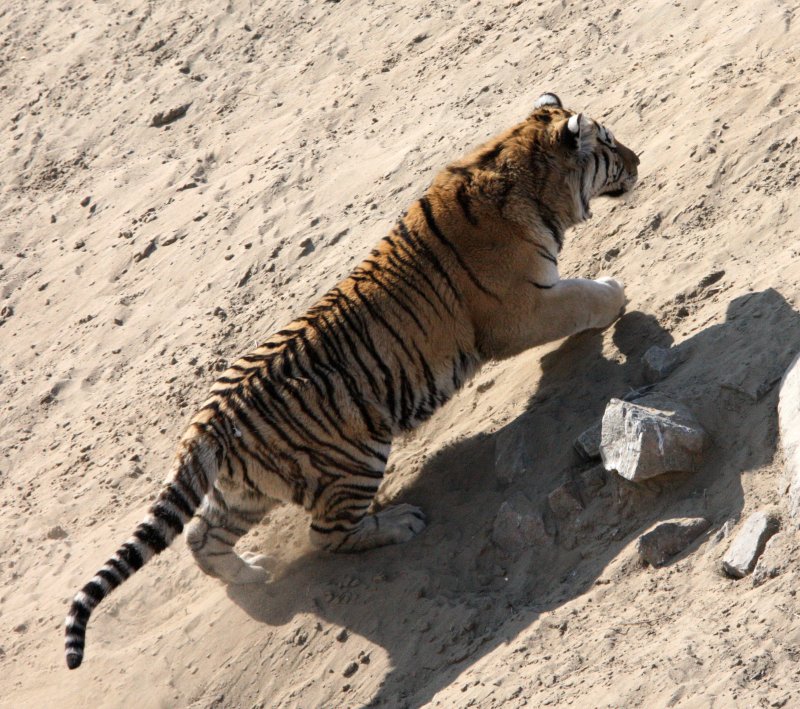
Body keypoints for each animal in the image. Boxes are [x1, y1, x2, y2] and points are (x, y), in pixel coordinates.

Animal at [64, 92, 636, 668]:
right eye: (609, 145)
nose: (636, 161)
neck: (521, 170)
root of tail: (208, 423)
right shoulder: (521, 311)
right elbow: (581, 298)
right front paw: (615, 293)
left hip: (244, 491)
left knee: (201, 538)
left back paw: (253, 574)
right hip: (355, 458)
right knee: (327, 534)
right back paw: (401, 523)